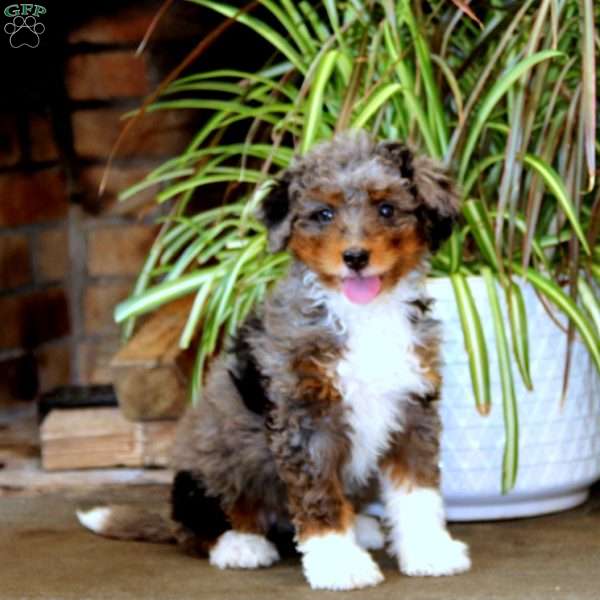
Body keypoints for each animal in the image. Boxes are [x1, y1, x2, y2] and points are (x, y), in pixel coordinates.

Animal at [78, 132, 468, 592]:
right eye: (323, 214)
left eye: (387, 208)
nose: (355, 257)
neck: (362, 313)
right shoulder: (307, 419)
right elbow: (320, 499)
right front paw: (339, 564)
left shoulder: (413, 409)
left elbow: (417, 490)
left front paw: (429, 550)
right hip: (210, 470)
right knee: (196, 525)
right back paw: (240, 545)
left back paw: (360, 527)